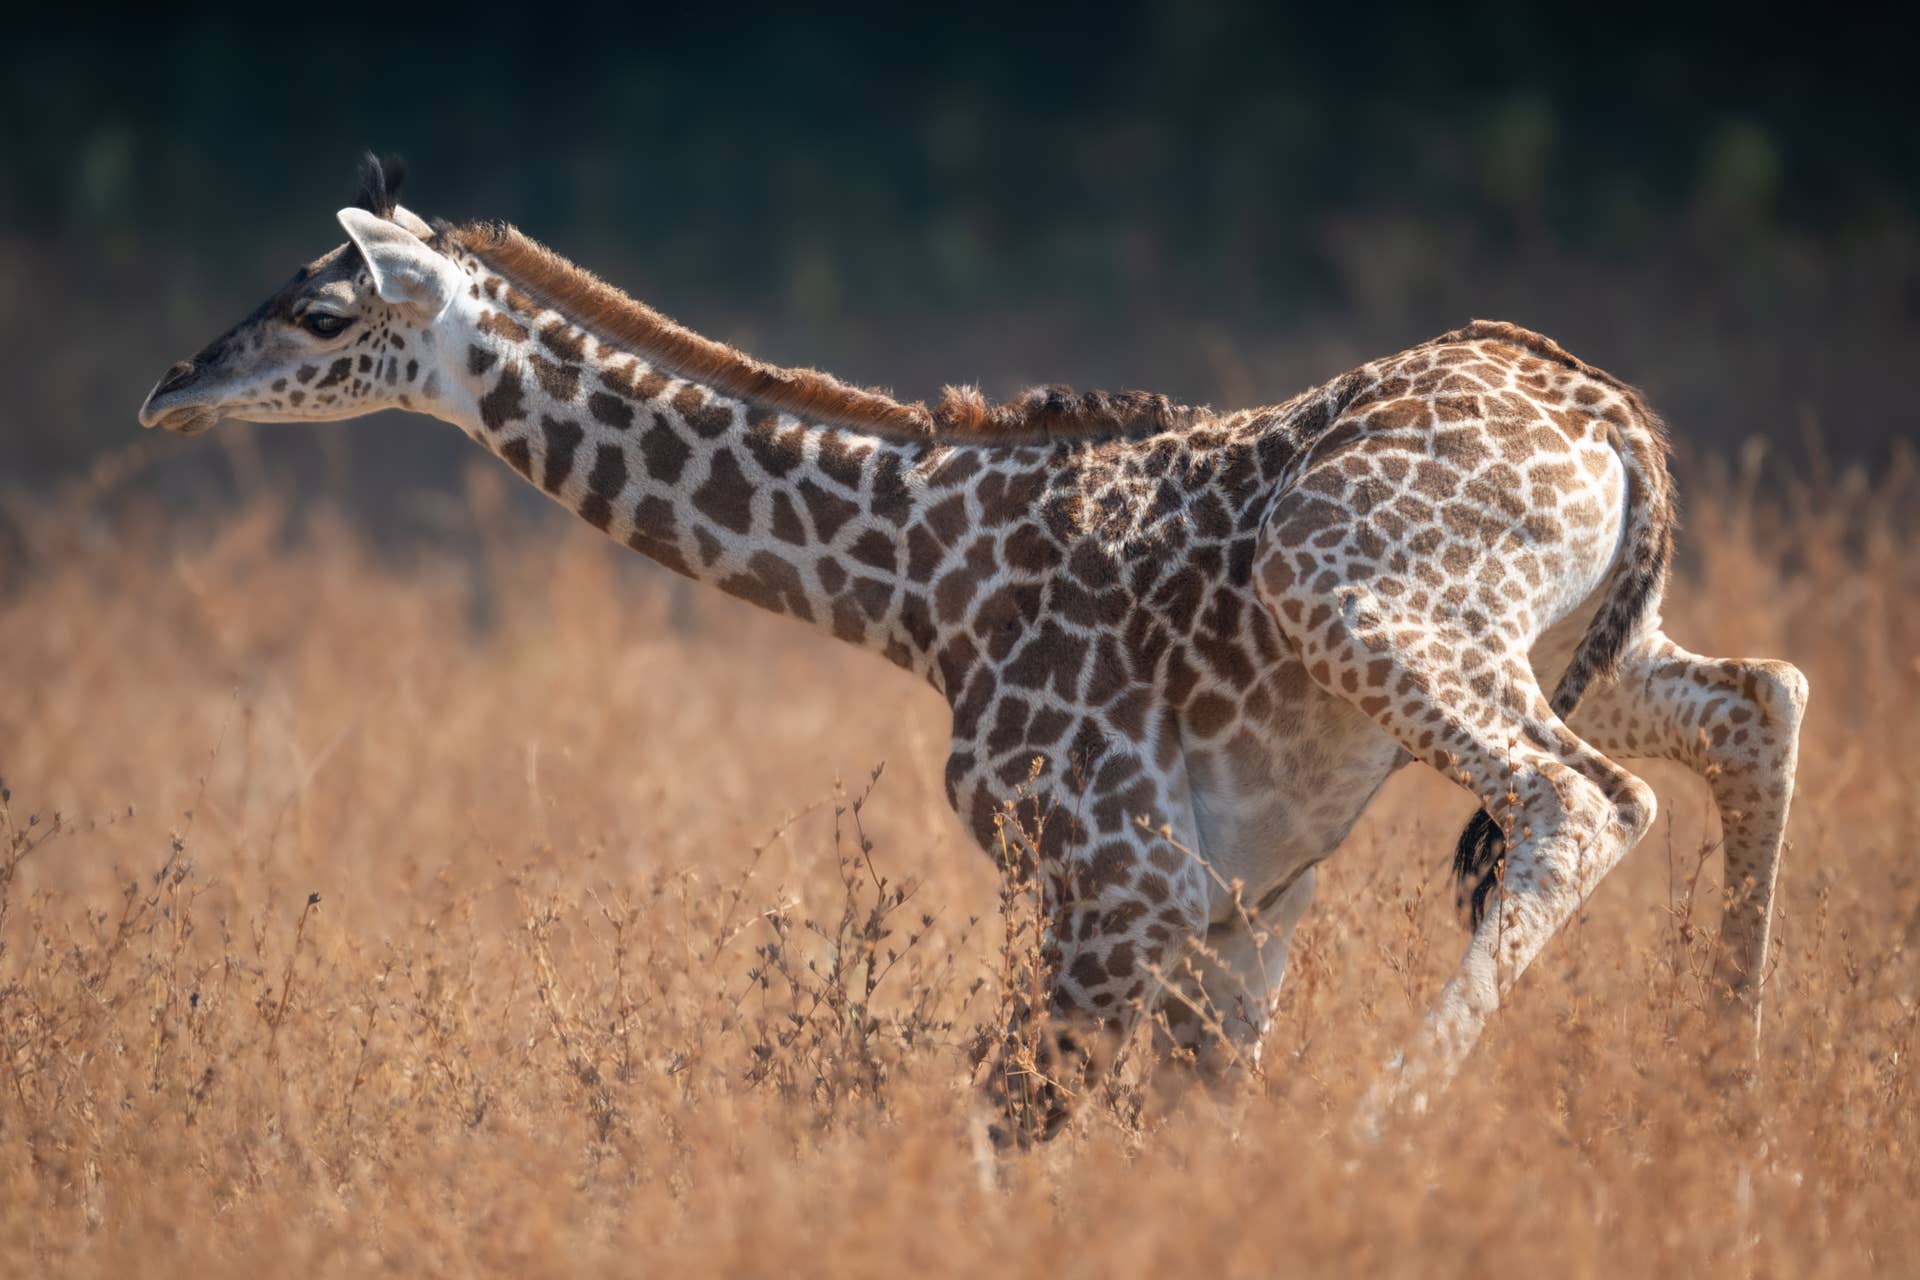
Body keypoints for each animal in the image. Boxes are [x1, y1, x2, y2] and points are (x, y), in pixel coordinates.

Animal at [138, 157, 1806, 1140]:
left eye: (321, 310)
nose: (168, 390)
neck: (922, 587)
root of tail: (1608, 415)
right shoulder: (1234, 910)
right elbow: (1172, 1131)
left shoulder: (1115, 883)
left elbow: (1007, 1125)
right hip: (1580, 635)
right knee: (1757, 699)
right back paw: (1728, 1115)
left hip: (1365, 606)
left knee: (1583, 796)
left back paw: (1390, 1129)